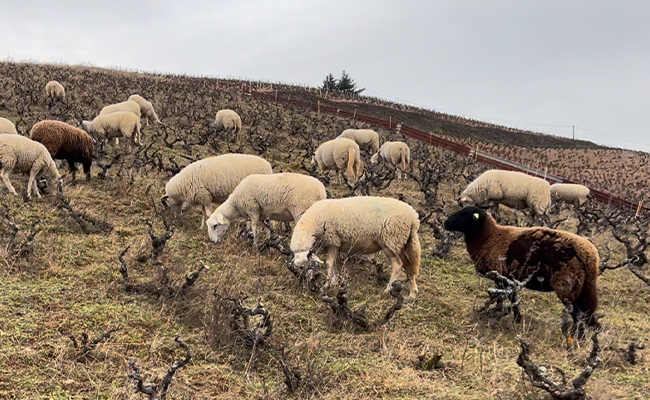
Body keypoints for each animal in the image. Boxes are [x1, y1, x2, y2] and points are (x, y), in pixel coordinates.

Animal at [288, 195, 420, 298]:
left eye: (309, 266)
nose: (307, 285)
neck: (312, 225)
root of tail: (414, 218)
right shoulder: (335, 245)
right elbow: (333, 264)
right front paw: (334, 281)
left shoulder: (333, 241)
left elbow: (329, 264)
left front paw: (327, 285)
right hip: (402, 244)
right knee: (409, 266)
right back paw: (412, 294)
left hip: (391, 241)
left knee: (398, 265)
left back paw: (388, 290)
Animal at [442, 205, 600, 346]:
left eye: (466, 214)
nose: (445, 223)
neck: (490, 238)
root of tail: (590, 256)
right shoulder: (511, 281)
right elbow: (513, 299)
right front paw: (517, 320)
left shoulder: (503, 279)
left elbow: (507, 299)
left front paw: (508, 317)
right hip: (582, 289)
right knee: (585, 315)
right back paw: (581, 339)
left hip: (567, 287)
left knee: (578, 316)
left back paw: (575, 339)